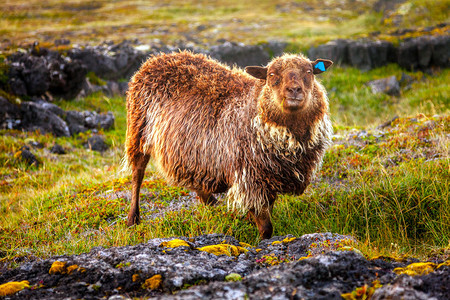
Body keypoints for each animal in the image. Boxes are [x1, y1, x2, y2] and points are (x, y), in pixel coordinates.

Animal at [125, 51, 332, 239]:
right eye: (272, 75)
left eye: (309, 71)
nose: (294, 90)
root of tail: (156, 58)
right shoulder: (251, 178)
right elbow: (266, 227)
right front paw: (262, 240)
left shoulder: (268, 177)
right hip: (137, 130)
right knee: (137, 174)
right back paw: (133, 219)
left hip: (190, 151)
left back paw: (213, 203)